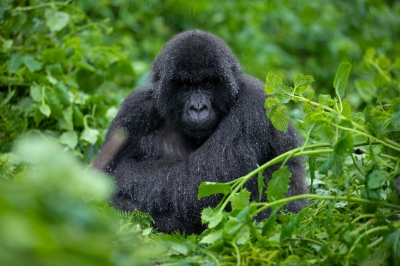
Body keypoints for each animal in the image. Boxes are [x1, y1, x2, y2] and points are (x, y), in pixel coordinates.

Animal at [93, 30, 306, 234]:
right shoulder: (135, 109)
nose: (198, 108)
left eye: (208, 84)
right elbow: (100, 174)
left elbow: (196, 184)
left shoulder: (254, 105)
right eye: (186, 86)